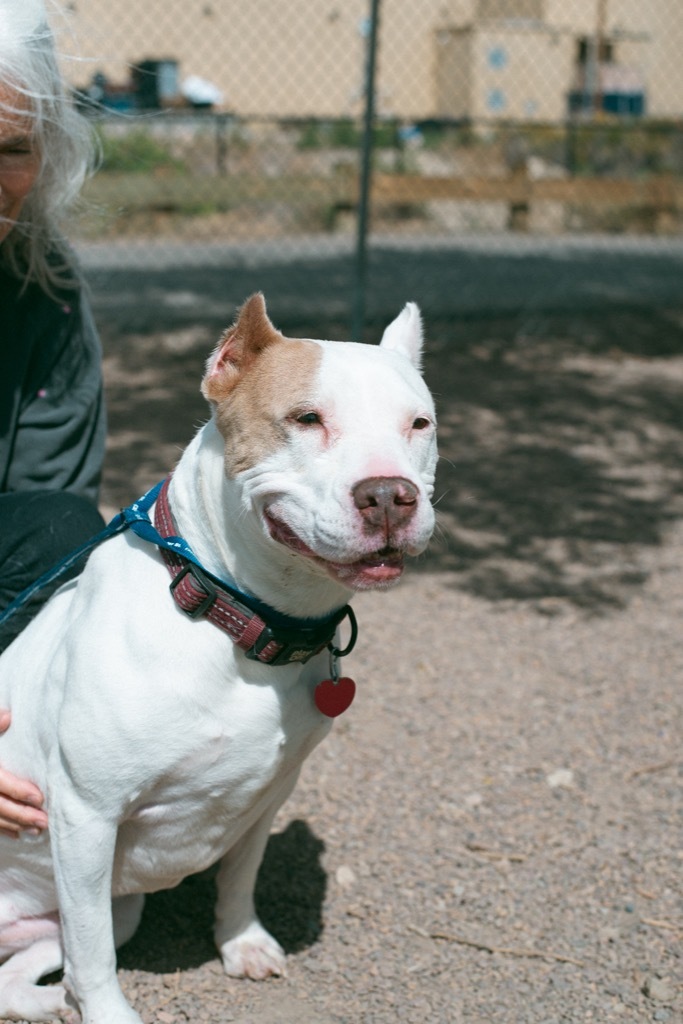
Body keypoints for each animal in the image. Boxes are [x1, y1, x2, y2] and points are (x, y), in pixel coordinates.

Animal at [0, 292, 438, 1019]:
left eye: (419, 423)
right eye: (306, 418)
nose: (389, 495)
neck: (239, 619)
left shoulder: (268, 793)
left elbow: (240, 875)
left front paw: (242, 943)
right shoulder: (85, 816)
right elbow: (93, 955)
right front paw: (110, 1012)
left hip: (94, 913)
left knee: (19, 973)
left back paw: (45, 1003)